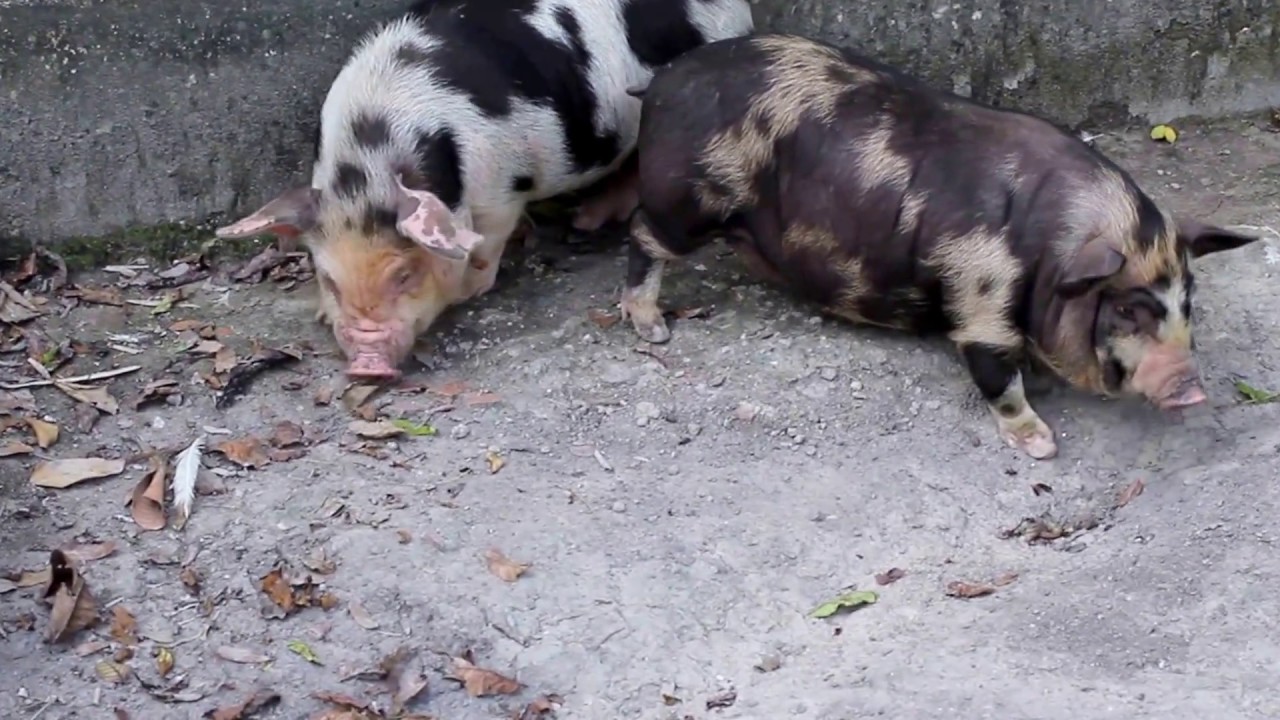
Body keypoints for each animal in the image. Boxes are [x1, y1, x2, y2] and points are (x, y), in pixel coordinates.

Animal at [213, 0, 754, 379]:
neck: (373, 159)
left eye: (404, 275)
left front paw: (471, 288)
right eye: (328, 279)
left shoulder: (500, 193)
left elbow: (484, 249)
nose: (368, 364)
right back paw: (583, 223)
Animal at [619, 33, 1260, 459]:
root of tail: (663, 80)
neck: (1053, 250)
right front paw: (1042, 446)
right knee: (641, 232)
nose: (1192, 389)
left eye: (1188, 303)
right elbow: (998, 377)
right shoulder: (981, 298)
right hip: (686, 200)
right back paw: (652, 329)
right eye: (1127, 308)